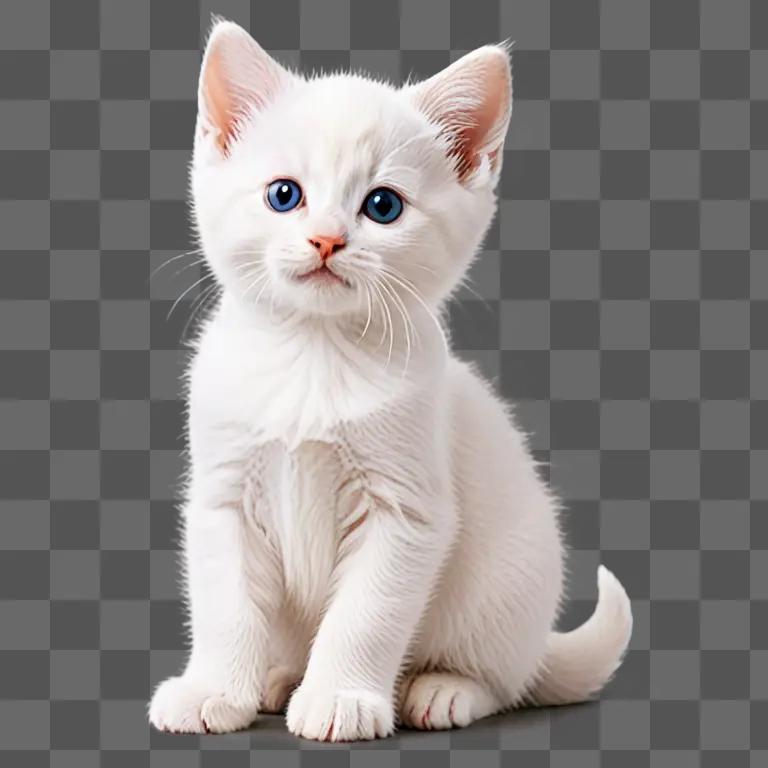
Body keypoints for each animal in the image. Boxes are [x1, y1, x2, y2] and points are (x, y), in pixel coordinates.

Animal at [148, 19, 632, 736]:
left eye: (382, 205)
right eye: (284, 195)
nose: (326, 239)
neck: (315, 357)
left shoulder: (407, 510)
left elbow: (366, 615)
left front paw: (340, 698)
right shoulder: (222, 495)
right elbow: (224, 605)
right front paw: (212, 689)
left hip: (508, 584)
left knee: (505, 678)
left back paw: (443, 689)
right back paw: (276, 677)